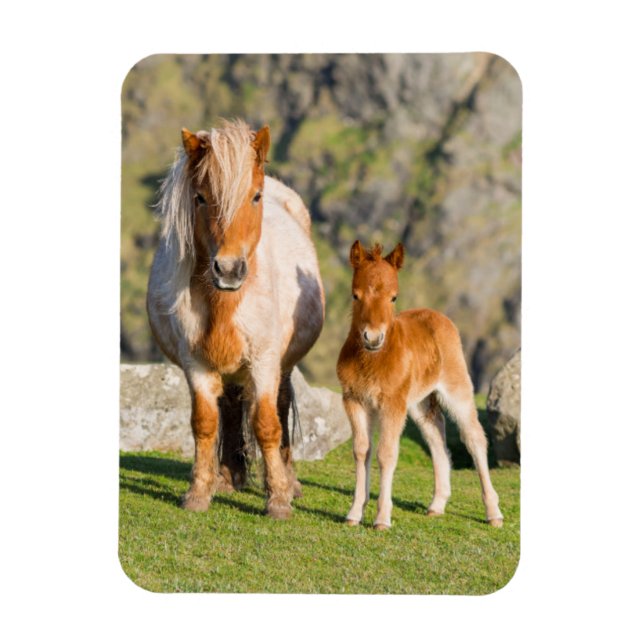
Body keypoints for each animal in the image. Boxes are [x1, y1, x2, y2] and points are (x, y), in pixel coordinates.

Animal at [147, 119, 325, 519]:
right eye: (199, 198)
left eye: (255, 197)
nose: (228, 270)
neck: (225, 302)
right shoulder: (195, 364)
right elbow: (204, 423)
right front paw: (199, 493)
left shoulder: (264, 361)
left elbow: (267, 424)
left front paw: (278, 500)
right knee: (228, 407)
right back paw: (229, 477)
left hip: (282, 365)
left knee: (280, 407)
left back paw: (289, 482)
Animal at [336, 241, 503, 529]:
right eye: (355, 295)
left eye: (393, 297)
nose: (373, 338)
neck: (373, 360)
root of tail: (438, 316)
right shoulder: (354, 400)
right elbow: (361, 451)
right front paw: (354, 513)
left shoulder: (392, 404)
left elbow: (386, 453)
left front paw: (382, 518)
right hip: (419, 402)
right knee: (436, 436)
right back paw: (437, 505)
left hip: (456, 390)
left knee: (474, 438)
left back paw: (493, 513)